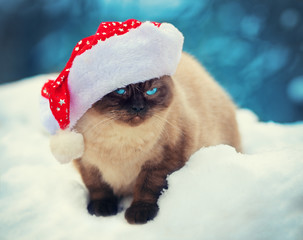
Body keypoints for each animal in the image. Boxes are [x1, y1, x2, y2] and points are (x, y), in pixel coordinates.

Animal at [72, 52, 241, 223]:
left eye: (151, 91)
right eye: (120, 91)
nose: (138, 108)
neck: (121, 142)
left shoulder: (163, 160)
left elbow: (148, 187)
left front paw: (139, 215)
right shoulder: (87, 164)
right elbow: (98, 188)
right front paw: (102, 210)